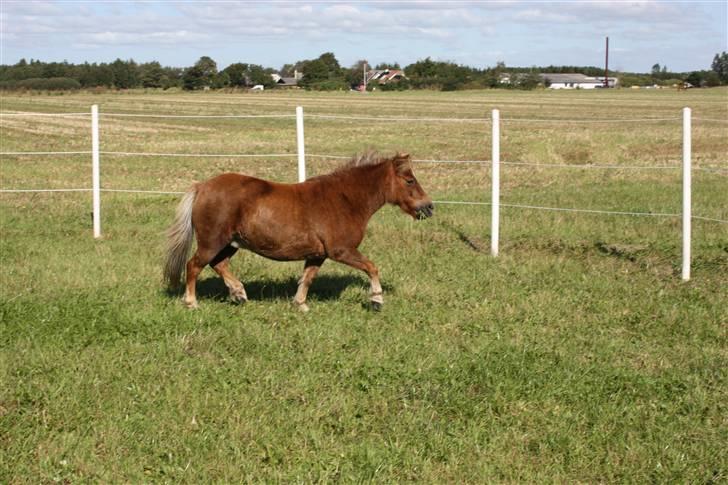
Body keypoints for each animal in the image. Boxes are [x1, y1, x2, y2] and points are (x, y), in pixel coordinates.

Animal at [165, 151, 432, 310]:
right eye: (409, 180)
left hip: (231, 243)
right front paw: (377, 299)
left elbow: (307, 278)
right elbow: (372, 267)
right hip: (212, 242)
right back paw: (192, 302)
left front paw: (300, 304)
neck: (345, 199)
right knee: (194, 266)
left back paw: (239, 293)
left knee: (218, 265)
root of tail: (202, 187)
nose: (429, 207)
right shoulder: (341, 251)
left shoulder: (317, 254)